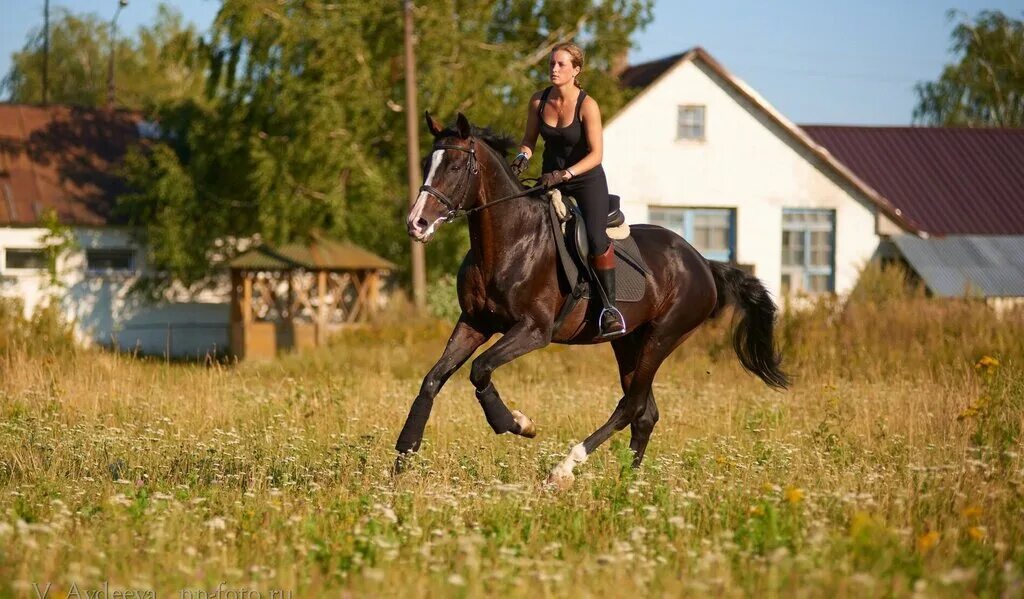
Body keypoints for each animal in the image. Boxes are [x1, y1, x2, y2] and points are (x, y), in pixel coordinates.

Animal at [395, 111, 786, 485]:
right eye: (427, 162)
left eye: (455, 167)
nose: (416, 224)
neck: (509, 241)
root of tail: (702, 262)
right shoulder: (475, 323)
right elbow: (433, 379)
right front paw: (402, 459)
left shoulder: (534, 331)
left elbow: (480, 369)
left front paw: (517, 423)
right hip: (628, 342)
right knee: (645, 413)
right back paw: (627, 484)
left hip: (662, 337)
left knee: (631, 407)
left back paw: (564, 469)